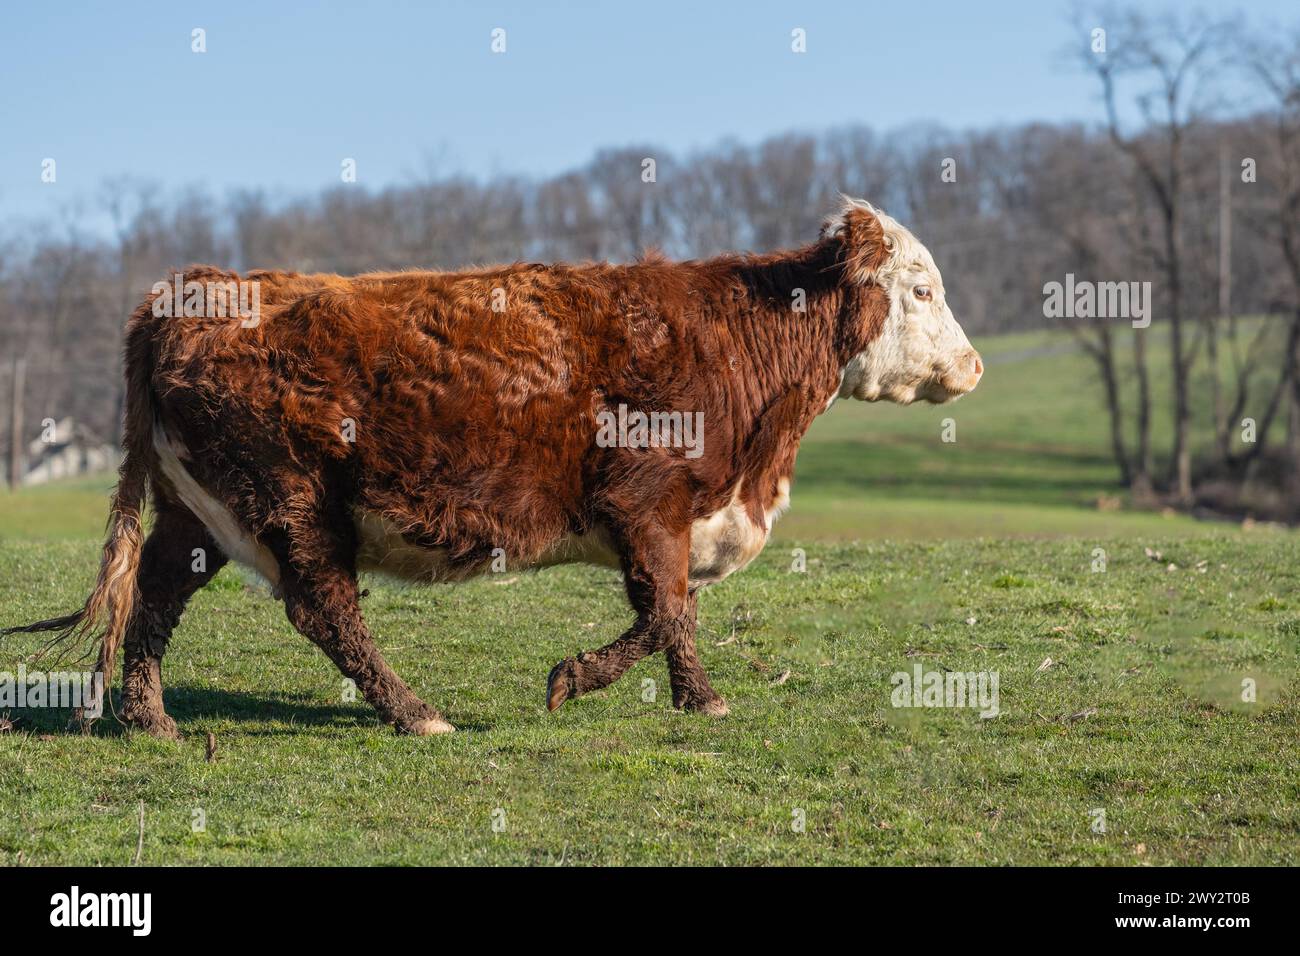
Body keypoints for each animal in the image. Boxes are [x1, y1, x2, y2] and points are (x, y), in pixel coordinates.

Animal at [5, 196, 977, 738]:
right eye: (924, 288)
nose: (970, 368)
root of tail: (192, 291)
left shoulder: (678, 519)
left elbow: (681, 614)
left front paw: (700, 700)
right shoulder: (647, 504)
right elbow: (666, 610)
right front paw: (573, 680)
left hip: (195, 510)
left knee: (155, 593)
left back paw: (151, 720)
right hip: (293, 501)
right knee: (324, 611)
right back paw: (417, 715)